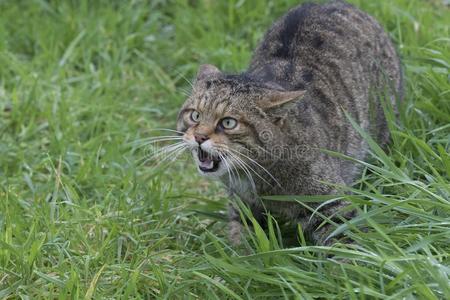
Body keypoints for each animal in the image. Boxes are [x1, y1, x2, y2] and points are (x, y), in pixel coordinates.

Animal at [164, 0, 400, 245]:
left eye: (228, 123)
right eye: (195, 116)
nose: (199, 136)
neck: (261, 177)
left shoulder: (331, 205)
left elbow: (347, 242)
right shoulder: (242, 207)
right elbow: (243, 239)